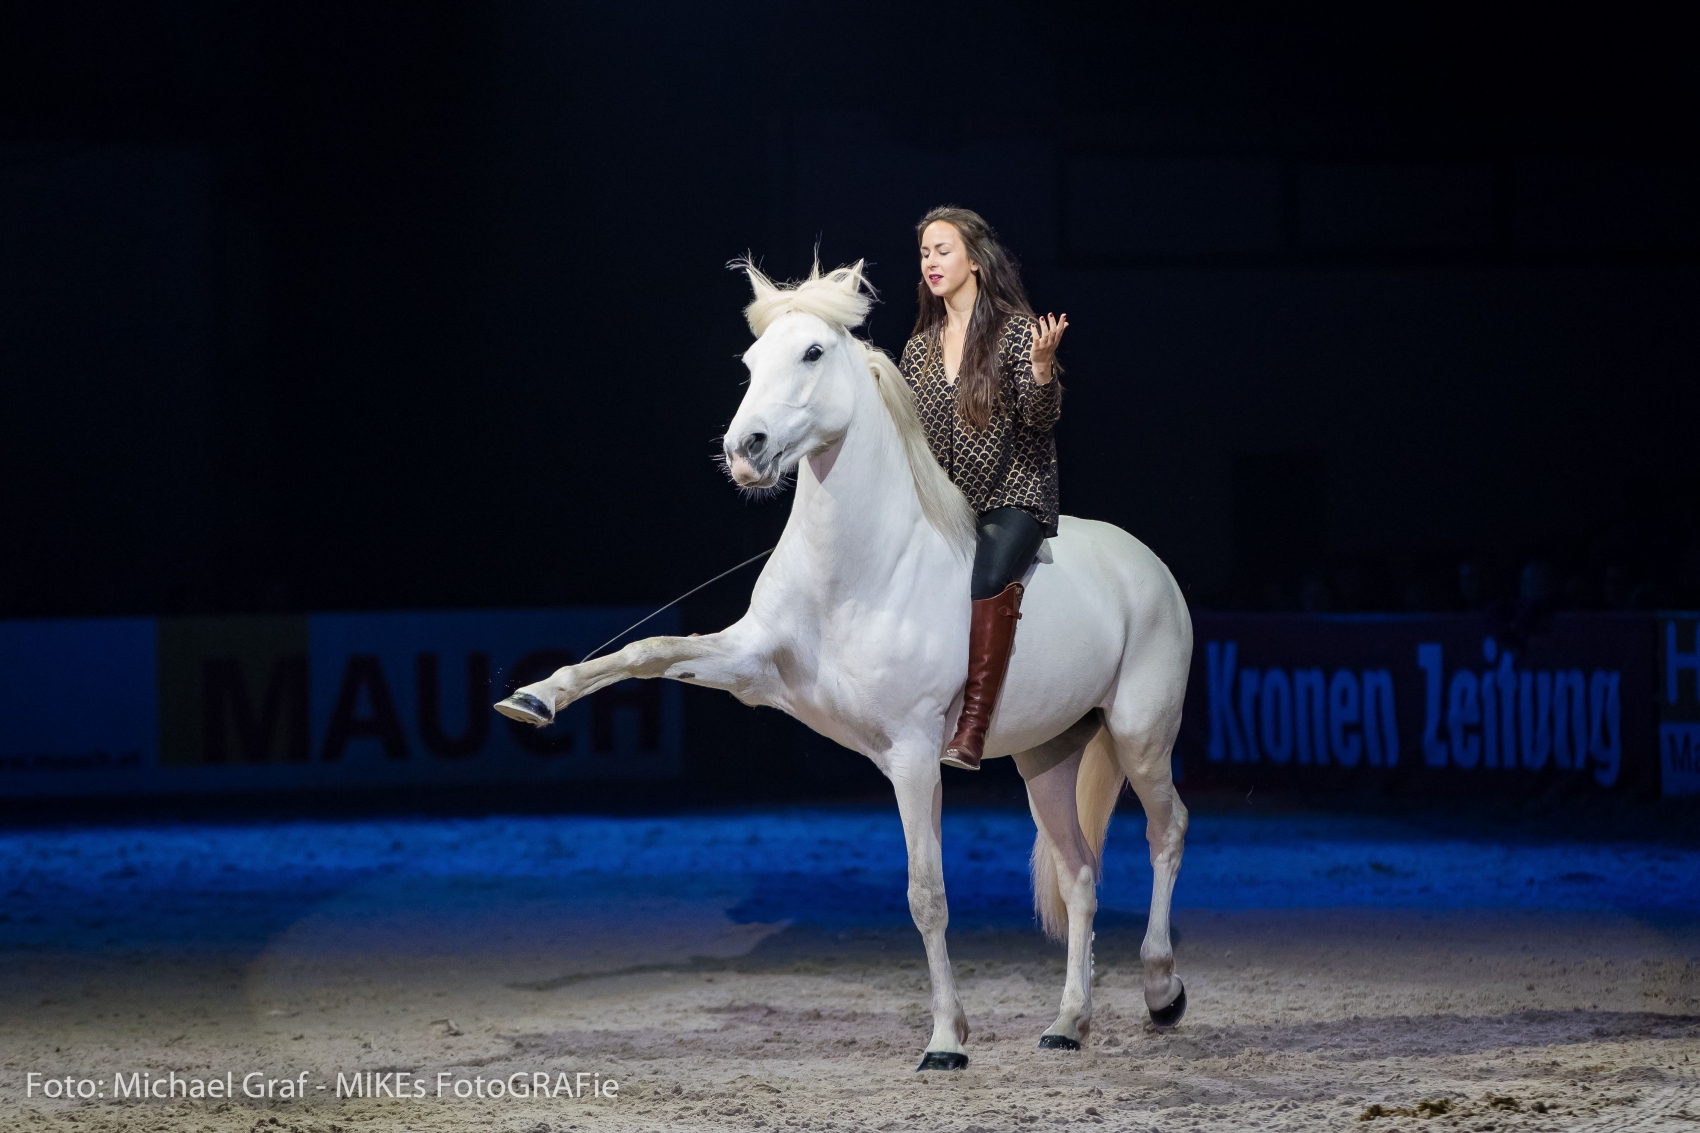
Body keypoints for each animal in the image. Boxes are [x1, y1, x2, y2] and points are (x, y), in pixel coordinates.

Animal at [496, 260, 1196, 1061]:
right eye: (749, 363)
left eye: (812, 353)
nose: (745, 450)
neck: (856, 572)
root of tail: (1145, 563)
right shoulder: (751, 666)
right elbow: (648, 652)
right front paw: (536, 697)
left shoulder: (915, 755)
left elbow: (928, 896)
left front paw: (946, 1039)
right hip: (1046, 759)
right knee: (1080, 874)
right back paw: (1067, 1023)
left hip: (1140, 735)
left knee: (1166, 832)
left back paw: (1162, 990)